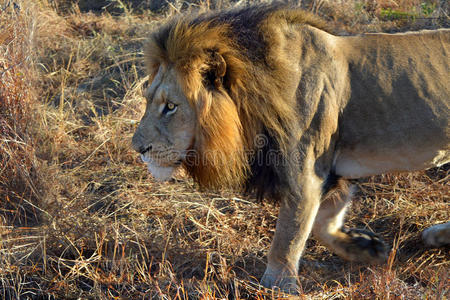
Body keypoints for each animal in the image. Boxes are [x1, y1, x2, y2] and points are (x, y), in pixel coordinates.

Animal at [132, 3, 448, 294]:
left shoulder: (306, 173)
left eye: (170, 107)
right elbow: (323, 225)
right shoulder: (333, 171)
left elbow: (288, 236)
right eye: (149, 100)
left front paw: (276, 286)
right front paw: (365, 247)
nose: (137, 148)